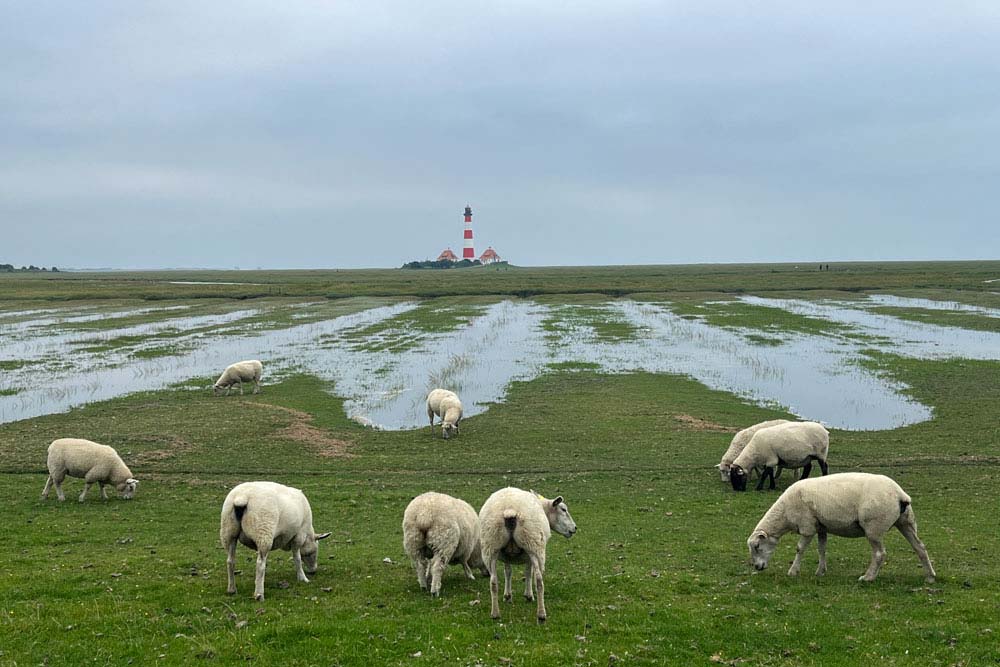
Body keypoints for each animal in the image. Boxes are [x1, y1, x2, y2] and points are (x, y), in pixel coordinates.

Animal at [479, 487, 576, 623]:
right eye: (563, 509)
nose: (575, 528)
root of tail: (509, 510)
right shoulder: (528, 555)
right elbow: (528, 573)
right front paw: (528, 595)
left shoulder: (507, 556)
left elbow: (508, 572)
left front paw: (507, 596)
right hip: (534, 544)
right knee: (539, 580)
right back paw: (541, 614)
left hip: (491, 545)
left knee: (493, 582)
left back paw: (495, 613)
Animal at [746, 472, 936, 583]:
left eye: (757, 546)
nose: (757, 567)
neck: (784, 513)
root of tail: (900, 495)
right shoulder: (821, 526)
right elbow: (822, 548)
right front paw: (821, 571)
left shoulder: (807, 526)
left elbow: (800, 549)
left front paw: (793, 571)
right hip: (906, 522)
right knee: (920, 547)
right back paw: (930, 577)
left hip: (873, 527)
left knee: (880, 554)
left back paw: (868, 577)